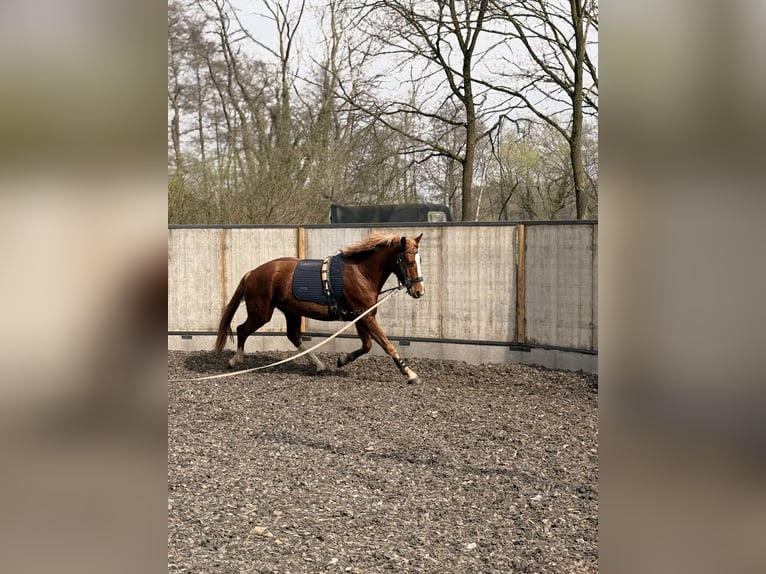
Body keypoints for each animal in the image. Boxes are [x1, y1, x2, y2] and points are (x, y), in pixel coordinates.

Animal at [214, 232, 425, 383]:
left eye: (420, 260)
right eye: (409, 261)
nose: (419, 291)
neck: (361, 272)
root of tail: (251, 273)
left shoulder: (362, 316)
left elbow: (367, 346)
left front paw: (342, 360)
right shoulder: (365, 317)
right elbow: (387, 344)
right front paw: (410, 373)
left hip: (291, 312)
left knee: (294, 336)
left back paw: (319, 365)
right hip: (261, 313)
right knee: (242, 329)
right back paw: (235, 360)